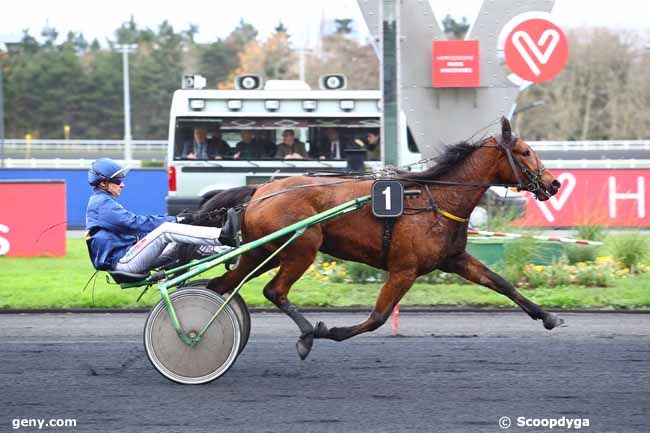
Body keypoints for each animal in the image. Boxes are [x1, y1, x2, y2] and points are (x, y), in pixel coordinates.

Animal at [200, 117, 560, 358]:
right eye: (524, 152)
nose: (554, 183)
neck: (436, 199)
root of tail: (259, 190)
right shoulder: (404, 269)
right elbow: (378, 317)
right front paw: (330, 330)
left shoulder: (454, 258)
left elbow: (501, 282)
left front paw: (548, 316)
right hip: (301, 249)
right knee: (273, 290)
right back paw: (305, 334)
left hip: (262, 253)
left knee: (220, 285)